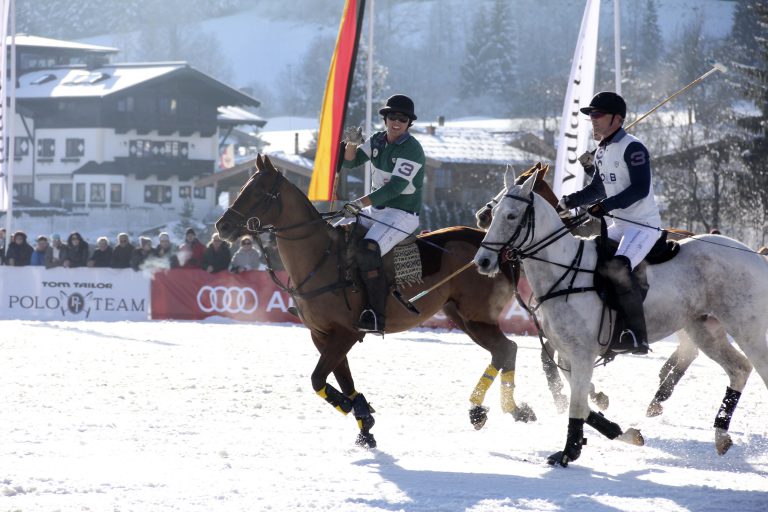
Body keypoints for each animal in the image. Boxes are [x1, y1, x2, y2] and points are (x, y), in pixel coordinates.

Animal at [216, 155, 536, 448]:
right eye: (243, 187)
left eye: (258, 192)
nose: (222, 227)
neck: (320, 258)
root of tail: (500, 250)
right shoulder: (321, 334)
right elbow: (342, 378)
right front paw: (364, 423)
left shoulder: (345, 332)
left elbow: (318, 378)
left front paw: (351, 407)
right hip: (462, 316)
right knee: (504, 350)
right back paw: (502, 410)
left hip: (476, 315)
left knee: (506, 348)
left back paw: (492, 410)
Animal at [474, 171, 768, 468]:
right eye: (495, 211)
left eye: (511, 215)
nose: (482, 261)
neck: (565, 271)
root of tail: (757, 257)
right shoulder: (567, 354)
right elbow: (582, 400)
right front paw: (624, 433)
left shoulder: (582, 353)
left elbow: (578, 403)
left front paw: (569, 452)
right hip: (704, 329)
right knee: (738, 368)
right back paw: (720, 435)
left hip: (747, 329)